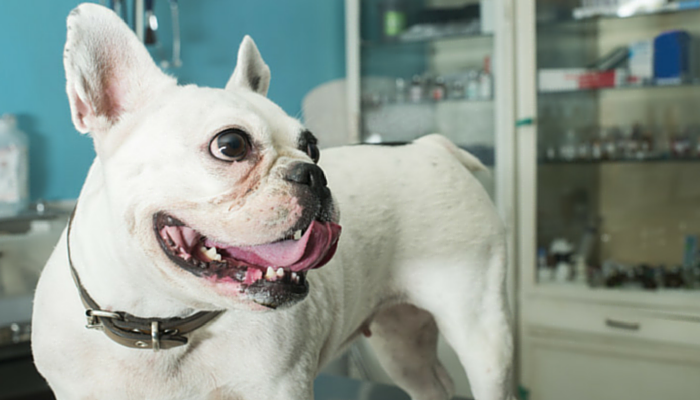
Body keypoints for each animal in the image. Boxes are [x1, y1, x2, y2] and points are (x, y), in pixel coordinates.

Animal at [31, 3, 516, 400]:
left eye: (313, 147)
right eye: (230, 145)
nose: (314, 173)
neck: (160, 322)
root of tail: (430, 146)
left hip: (482, 334)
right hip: (401, 341)